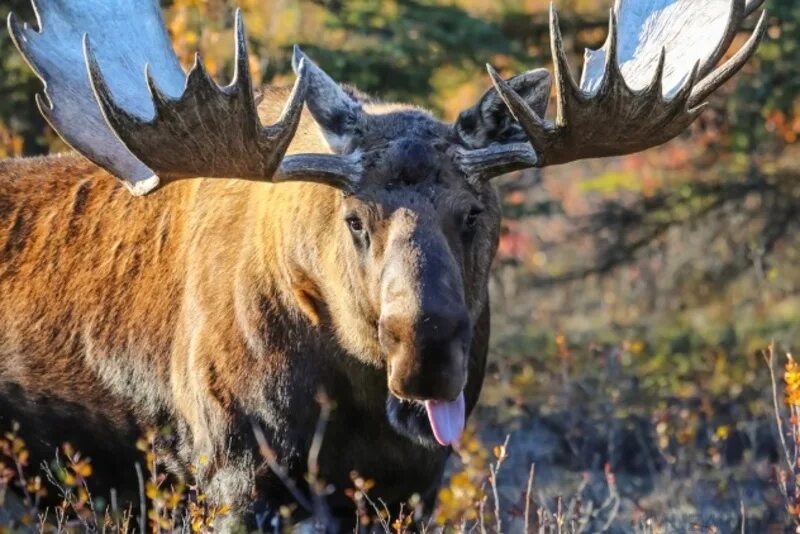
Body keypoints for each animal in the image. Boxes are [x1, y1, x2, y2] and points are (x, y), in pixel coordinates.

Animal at [0, 0, 764, 528]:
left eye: (475, 211)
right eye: (354, 220)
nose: (425, 353)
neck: (352, 401)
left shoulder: (414, 485)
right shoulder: (232, 472)